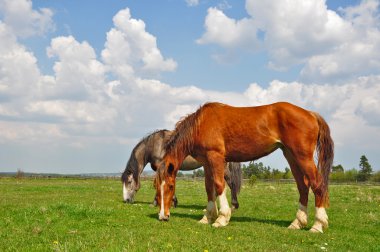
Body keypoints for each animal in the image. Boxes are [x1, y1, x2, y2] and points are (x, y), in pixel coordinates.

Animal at [154, 101, 332, 233]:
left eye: (171, 186)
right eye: (156, 188)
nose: (163, 216)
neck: (200, 124)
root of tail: (311, 114)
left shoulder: (215, 157)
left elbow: (219, 185)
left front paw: (221, 218)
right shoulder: (206, 163)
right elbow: (209, 189)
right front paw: (207, 217)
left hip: (303, 157)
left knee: (317, 185)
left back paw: (318, 225)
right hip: (291, 156)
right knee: (303, 187)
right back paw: (297, 223)